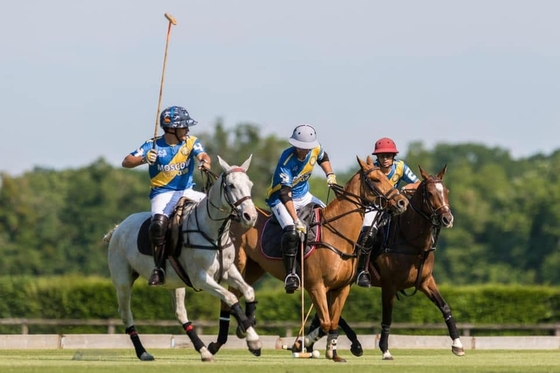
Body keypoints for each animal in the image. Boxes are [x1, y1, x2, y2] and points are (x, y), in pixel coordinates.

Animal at [103, 155, 260, 360]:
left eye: (250, 184)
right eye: (232, 185)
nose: (251, 216)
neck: (214, 233)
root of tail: (118, 228)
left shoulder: (227, 271)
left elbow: (249, 291)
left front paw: (247, 332)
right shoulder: (200, 278)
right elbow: (230, 297)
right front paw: (253, 340)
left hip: (174, 282)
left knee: (180, 313)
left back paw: (203, 351)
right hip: (122, 280)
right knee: (125, 313)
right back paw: (143, 352)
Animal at [208, 155, 410, 360]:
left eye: (387, 178)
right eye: (376, 180)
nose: (402, 202)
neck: (337, 235)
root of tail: (233, 217)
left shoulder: (341, 288)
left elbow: (332, 322)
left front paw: (332, 352)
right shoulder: (316, 286)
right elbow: (326, 322)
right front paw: (300, 344)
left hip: (253, 269)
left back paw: (245, 335)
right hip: (238, 266)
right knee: (227, 299)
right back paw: (218, 344)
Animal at [306, 164, 464, 358]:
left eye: (446, 191)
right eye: (430, 193)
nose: (447, 219)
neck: (409, 240)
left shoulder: (425, 281)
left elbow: (445, 307)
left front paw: (458, 344)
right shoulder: (389, 284)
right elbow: (387, 317)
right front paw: (385, 349)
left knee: (325, 313)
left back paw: (314, 345)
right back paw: (348, 344)